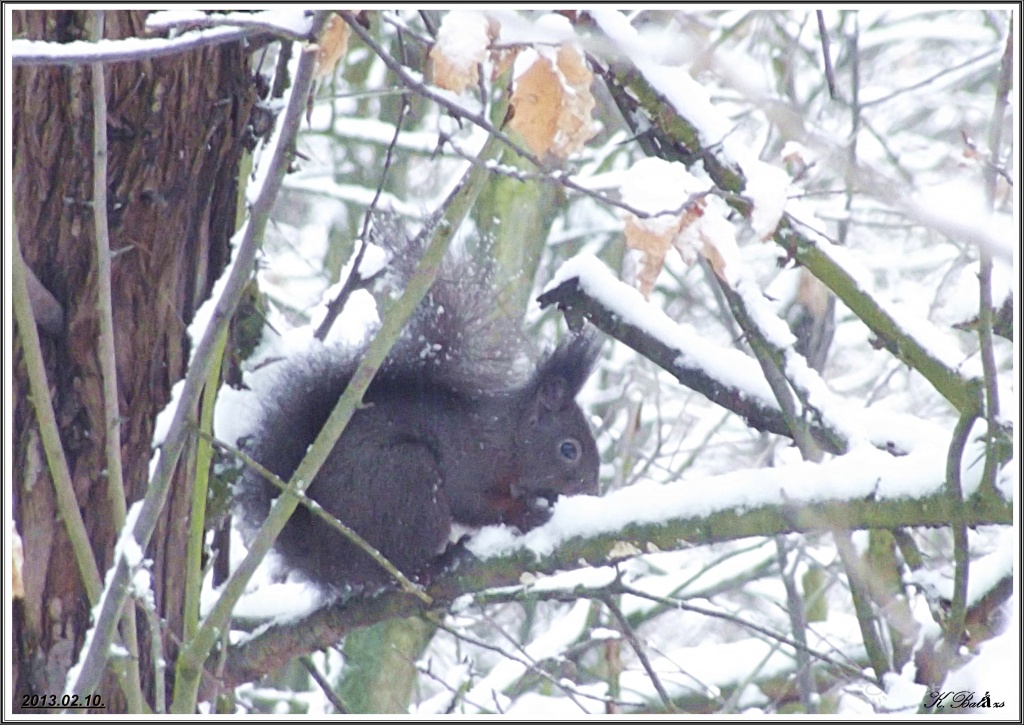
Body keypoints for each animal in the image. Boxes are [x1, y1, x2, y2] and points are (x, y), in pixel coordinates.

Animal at [235, 220, 601, 596]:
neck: (508, 437)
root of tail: (331, 564)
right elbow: (472, 503)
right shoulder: (469, 461)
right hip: (407, 479)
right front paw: (525, 513)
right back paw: (436, 561)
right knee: (402, 565)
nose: (592, 492)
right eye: (569, 449)